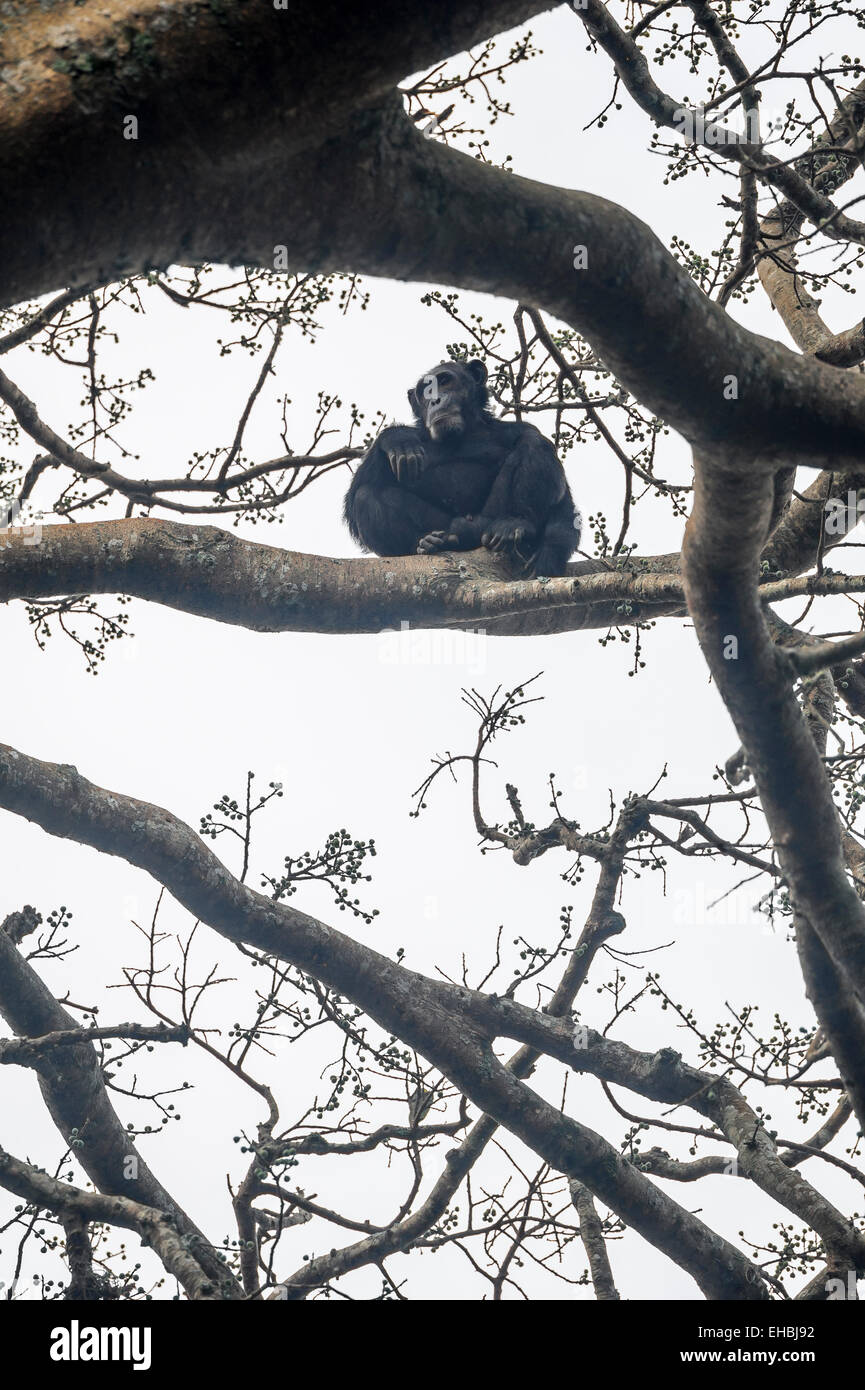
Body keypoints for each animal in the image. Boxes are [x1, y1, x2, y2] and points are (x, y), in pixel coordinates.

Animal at [346, 361, 584, 578]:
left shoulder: (517, 429)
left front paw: (549, 554)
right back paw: (428, 543)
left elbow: (564, 503)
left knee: (534, 444)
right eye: (425, 392)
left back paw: (514, 525)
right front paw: (397, 438)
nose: (434, 400)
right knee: (365, 495)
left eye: (444, 381)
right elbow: (355, 494)